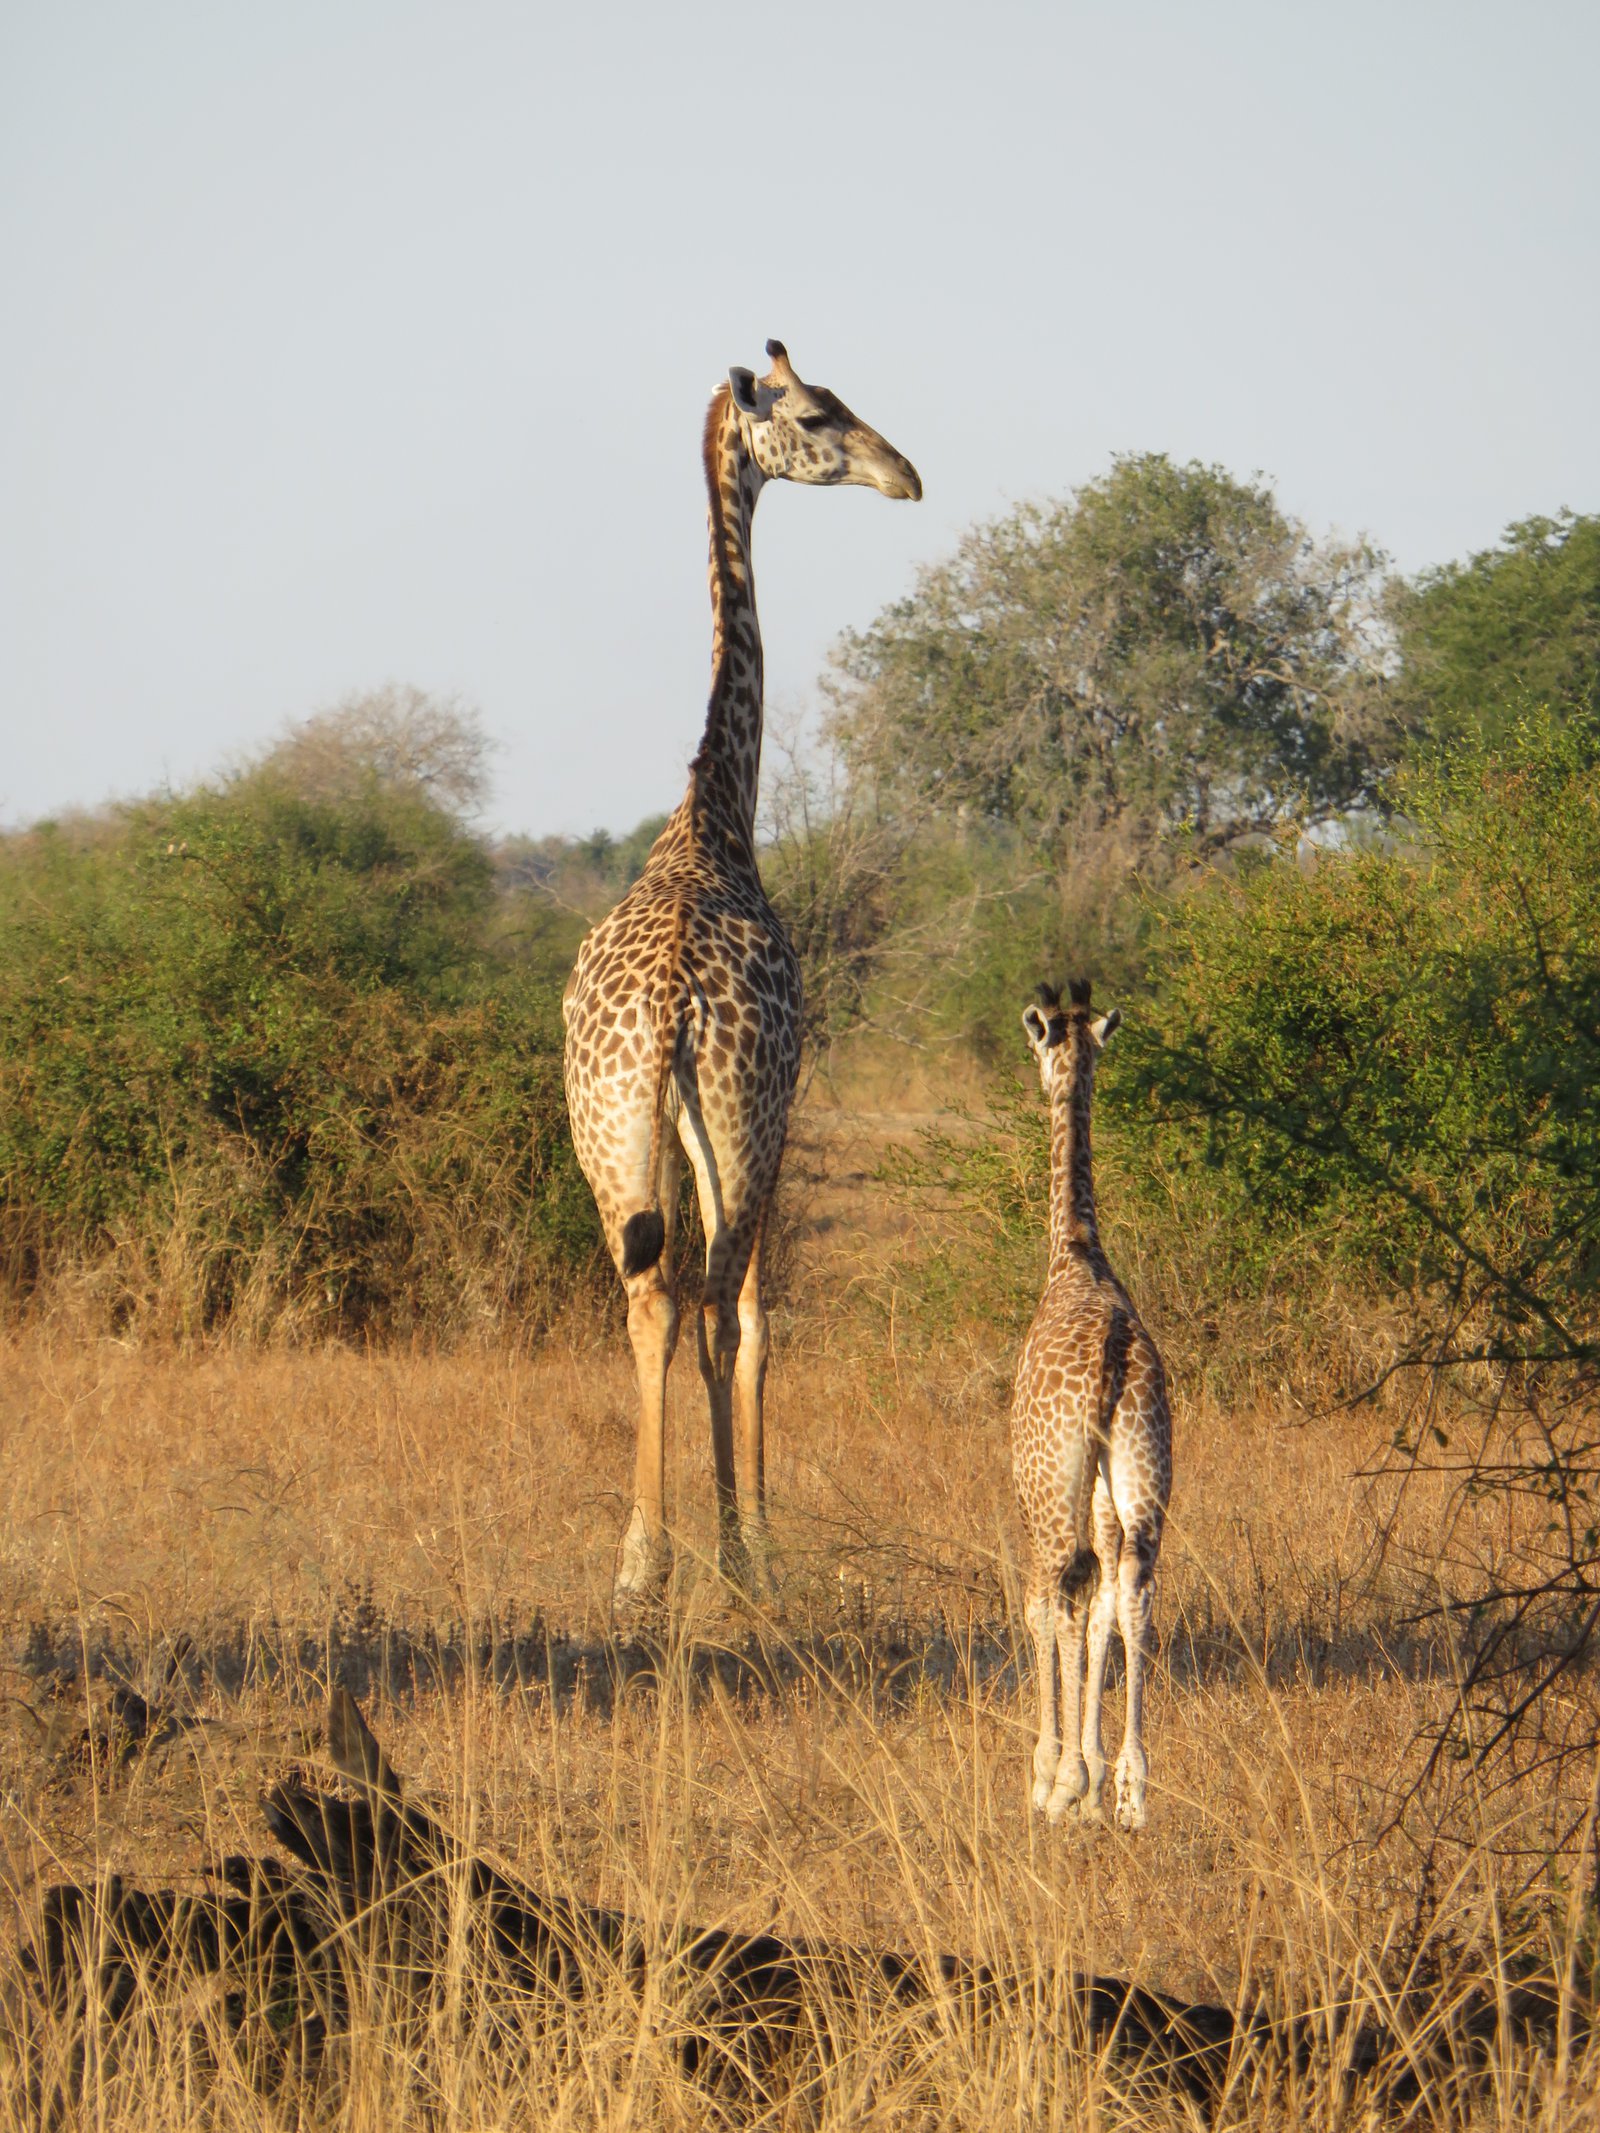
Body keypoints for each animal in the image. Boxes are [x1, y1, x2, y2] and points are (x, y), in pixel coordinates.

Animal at [563, 341, 921, 1621]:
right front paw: (755, 1544)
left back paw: (639, 1562)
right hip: (737, 1113)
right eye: (817, 415)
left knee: (648, 1297)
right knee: (720, 1300)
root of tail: (670, 1008)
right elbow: (761, 1318)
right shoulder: (784, 1101)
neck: (715, 815)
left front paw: (689, 1545)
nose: (906, 474)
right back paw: (717, 1555)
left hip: (607, 1129)